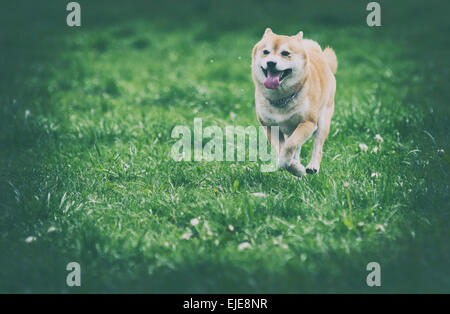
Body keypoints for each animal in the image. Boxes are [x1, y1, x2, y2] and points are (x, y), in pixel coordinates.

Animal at [251, 28, 336, 177]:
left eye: (285, 53)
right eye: (266, 52)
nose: (271, 62)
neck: (281, 99)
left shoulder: (308, 123)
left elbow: (289, 146)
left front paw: (286, 163)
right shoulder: (270, 127)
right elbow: (282, 148)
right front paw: (295, 168)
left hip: (322, 122)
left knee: (317, 146)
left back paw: (313, 166)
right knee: (296, 148)